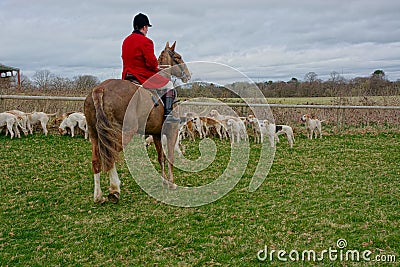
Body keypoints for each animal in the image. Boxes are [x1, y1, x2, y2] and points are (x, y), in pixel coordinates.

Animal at [84, 42, 191, 204]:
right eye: (178, 57)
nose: (188, 75)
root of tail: (100, 89)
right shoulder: (171, 131)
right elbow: (170, 157)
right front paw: (172, 183)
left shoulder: (156, 134)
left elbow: (161, 158)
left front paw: (164, 181)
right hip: (125, 131)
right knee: (111, 156)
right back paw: (114, 189)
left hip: (94, 134)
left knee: (97, 160)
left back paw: (98, 196)